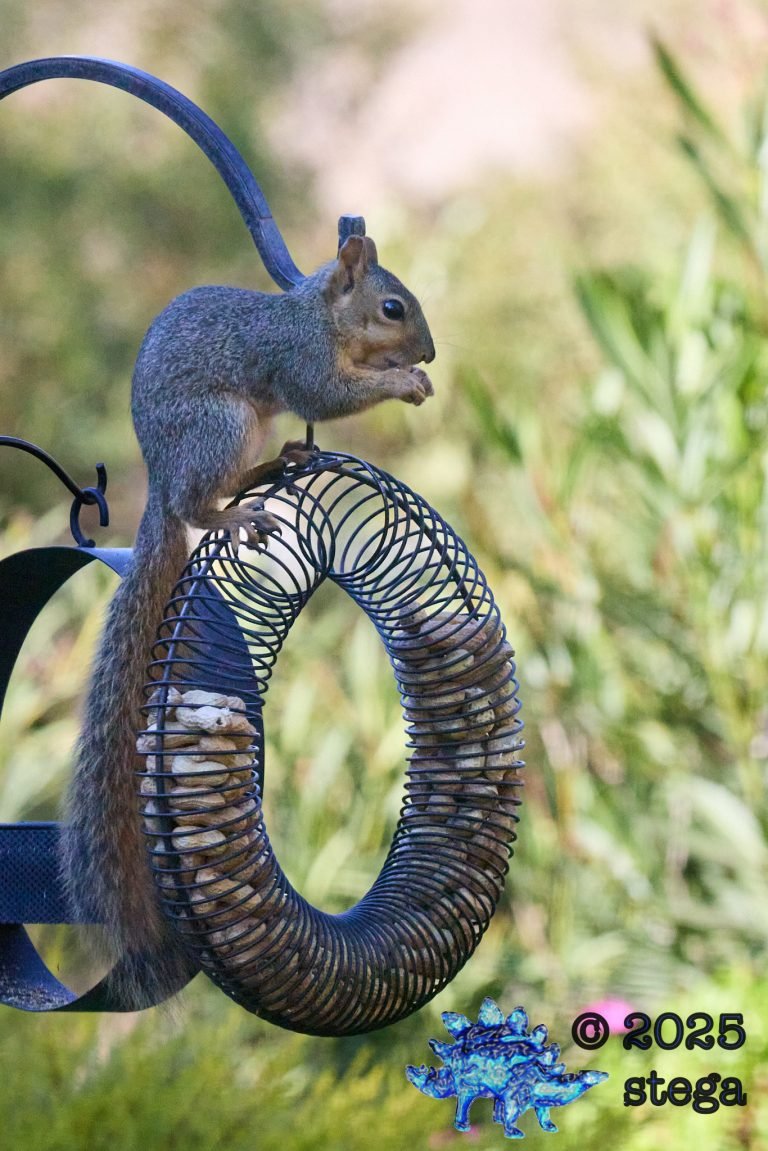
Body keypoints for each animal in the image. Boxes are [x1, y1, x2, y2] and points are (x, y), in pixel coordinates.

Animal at [61, 233, 435, 1009]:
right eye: (393, 307)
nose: (431, 352)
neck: (319, 317)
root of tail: (160, 475)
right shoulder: (297, 359)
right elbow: (326, 395)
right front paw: (403, 382)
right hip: (221, 425)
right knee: (197, 506)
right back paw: (234, 512)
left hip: (249, 424)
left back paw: (280, 462)